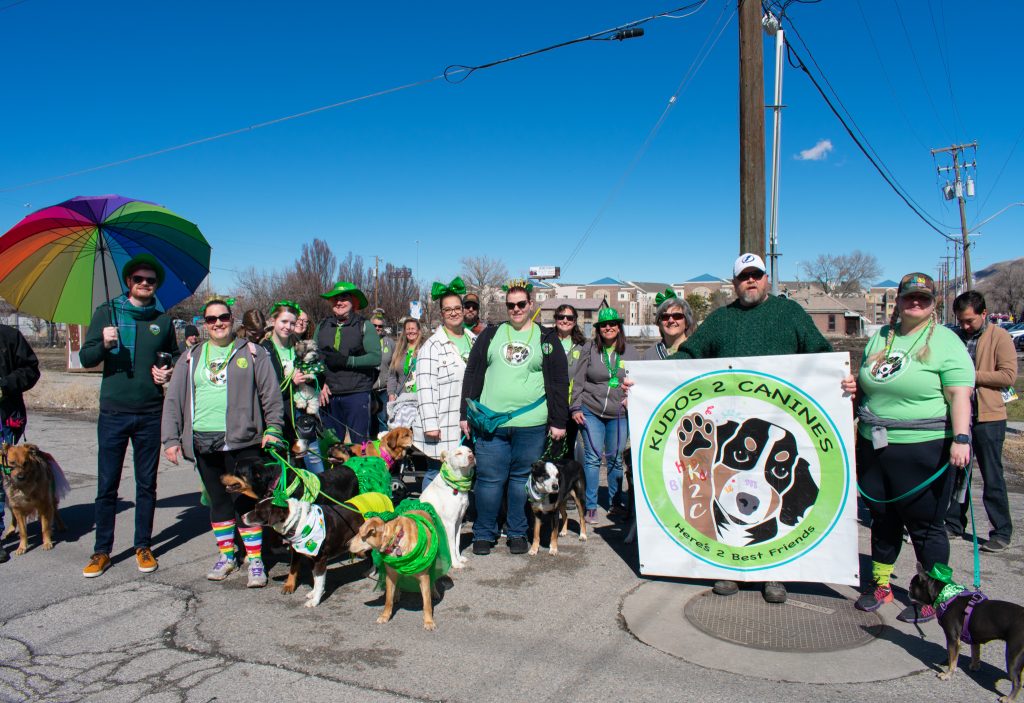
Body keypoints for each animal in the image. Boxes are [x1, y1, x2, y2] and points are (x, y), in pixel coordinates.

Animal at [913, 560, 1024, 699]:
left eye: (912, 585)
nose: (909, 590)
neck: (946, 596)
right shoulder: (974, 638)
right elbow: (975, 653)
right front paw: (974, 666)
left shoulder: (953, 639)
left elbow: (952, 659)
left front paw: (948, 674)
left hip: (1013, 656)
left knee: (1017, 681)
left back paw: (1008, 699)